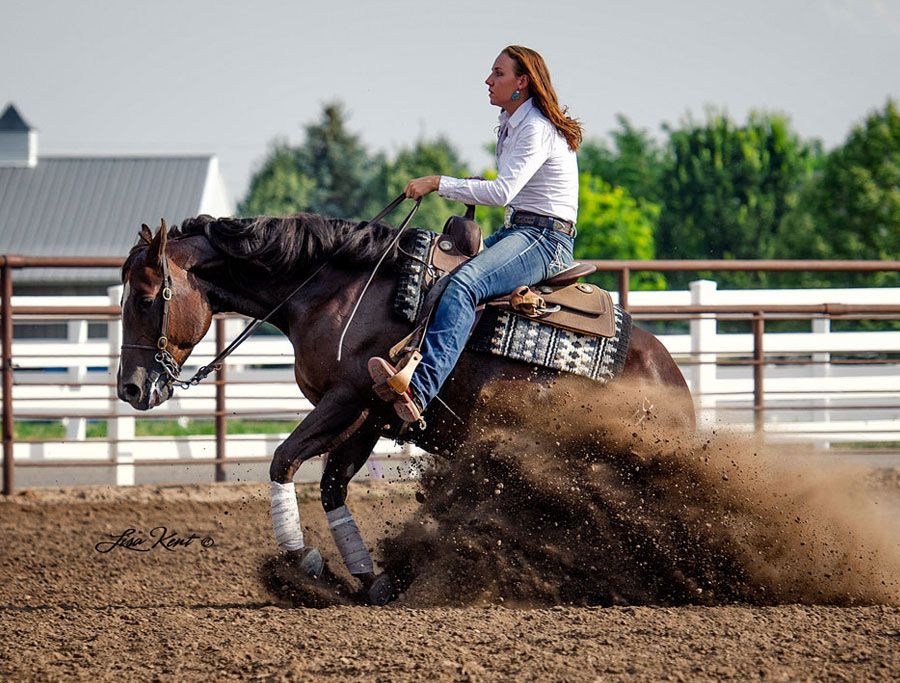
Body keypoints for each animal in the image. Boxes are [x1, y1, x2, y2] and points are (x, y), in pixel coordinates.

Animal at [117, 214, 695, 604]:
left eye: (145, 298)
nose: (130, 388)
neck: (334, 291)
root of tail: (674, 385)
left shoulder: (348, 399)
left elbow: (283, 460)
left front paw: (303, 562)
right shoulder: (366, 418)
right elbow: (332, 487)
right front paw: (372, 579)